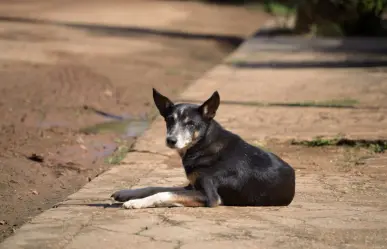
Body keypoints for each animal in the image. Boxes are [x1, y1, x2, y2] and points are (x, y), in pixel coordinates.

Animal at [110, 88, 296, 209]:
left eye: (191, 124)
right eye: (169, 120)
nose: (171, 140)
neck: (203, 145)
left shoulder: (210, 196)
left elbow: (163, 194)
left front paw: (135, 202)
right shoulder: (191, 186)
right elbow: (155, 188)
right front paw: (126, 193)